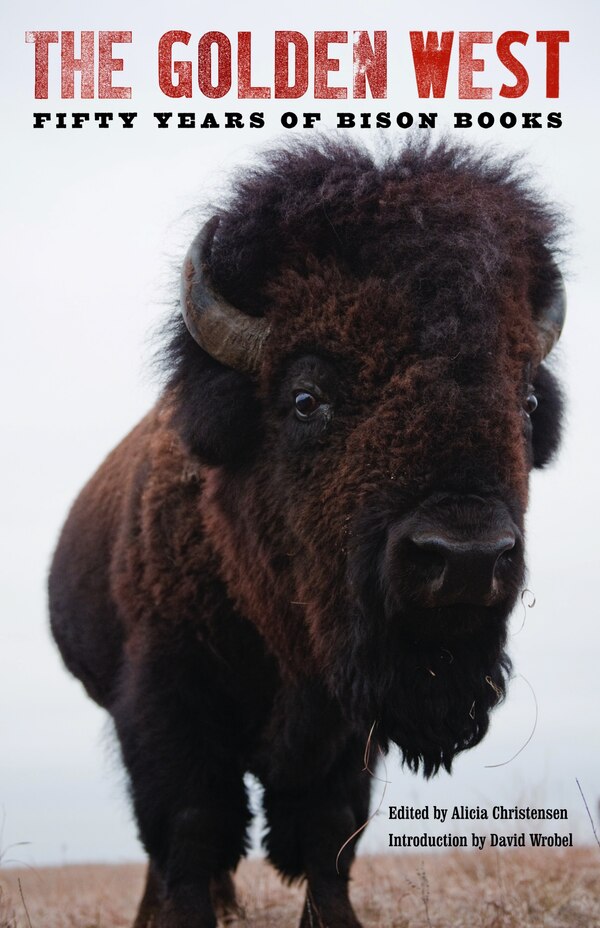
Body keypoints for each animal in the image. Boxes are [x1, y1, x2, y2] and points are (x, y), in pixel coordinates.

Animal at [49, 138, 564, 928]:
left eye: (529, 400)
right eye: (304, 398)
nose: (466, 558)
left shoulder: (348, 724)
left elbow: (330, 833)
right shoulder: (166, 697)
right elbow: (192, 828)